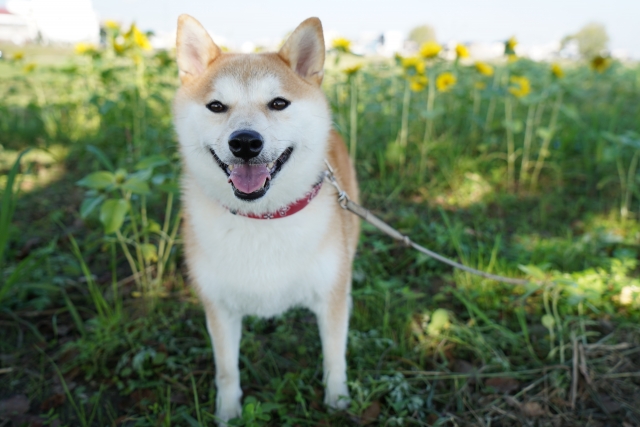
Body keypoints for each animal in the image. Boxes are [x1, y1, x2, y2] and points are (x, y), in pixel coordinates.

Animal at [172, 13, 360, 424]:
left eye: (278, 103)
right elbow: (227, 371)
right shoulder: (219, 307)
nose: (245, 141)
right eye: (216, 106)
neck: (263, 218)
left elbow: (335, 357)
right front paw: (228, 414)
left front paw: (337, 401)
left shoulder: (332, 297)